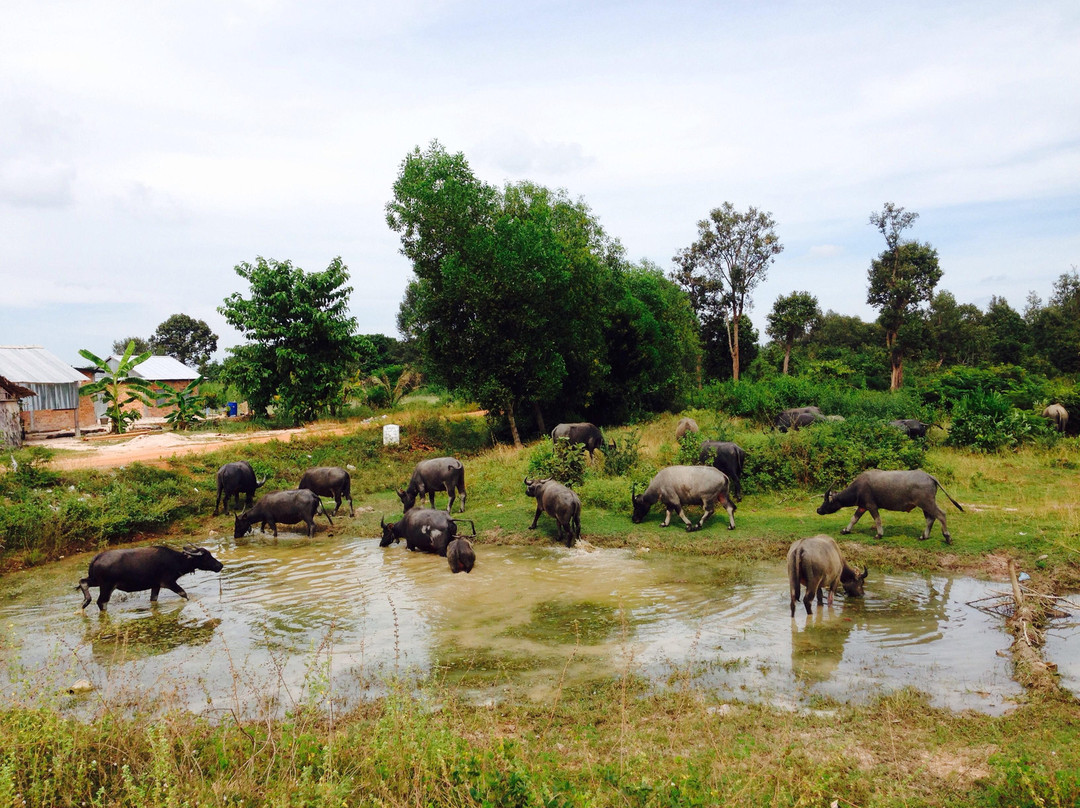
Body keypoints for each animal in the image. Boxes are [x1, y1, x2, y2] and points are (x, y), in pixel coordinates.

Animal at [78, 546, 223, 609]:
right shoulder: (168, 582)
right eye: (207, 556)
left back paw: (85, 602)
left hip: (96, 581)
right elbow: (184, 593)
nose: (220, 565)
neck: (176, 560)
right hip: (107, 586)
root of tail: (97, 557)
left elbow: (153, 600)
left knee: (83, 582)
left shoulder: (156, 585)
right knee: (101, 602)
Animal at [816, 470, 963, 546]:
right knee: (930, 519)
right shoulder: (862, 506)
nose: (818, 510)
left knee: (941, 515)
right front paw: (846, 530)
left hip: (927, 503)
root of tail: (930, 476)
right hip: (924, 505)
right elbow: (854, 519)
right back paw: (924, 536)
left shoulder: (871, 506)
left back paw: (947, 537)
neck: (858, 488)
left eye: (826, 502)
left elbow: (877, 520)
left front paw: (879, 534)